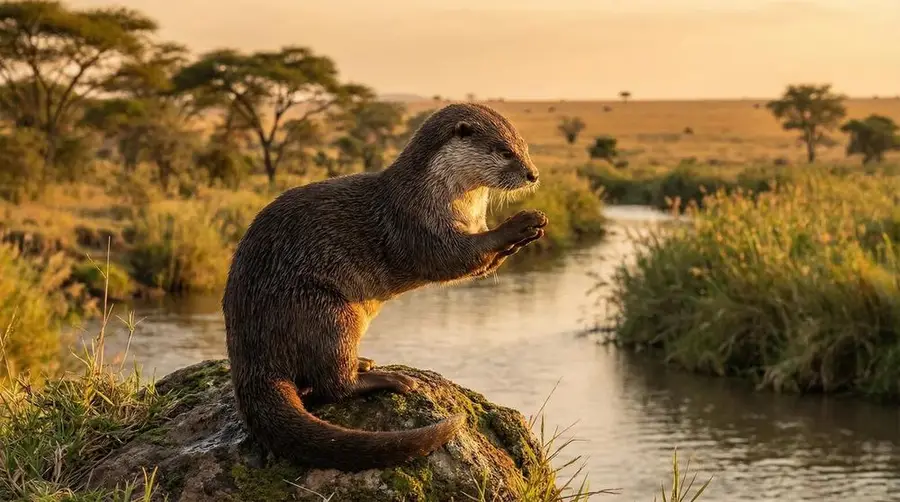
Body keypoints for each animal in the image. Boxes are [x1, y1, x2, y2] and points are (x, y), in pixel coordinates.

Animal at [222, 102, 548, 472]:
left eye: (524, 147)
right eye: (505, 151)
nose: (533, 175)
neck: (439, 194)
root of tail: (252, 361)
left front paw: (529, 232)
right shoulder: (415, 224)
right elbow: (453, 258)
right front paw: (518, 223)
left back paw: (364, 362)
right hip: (324, 310)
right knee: (333, 386)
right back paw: (388, 379)